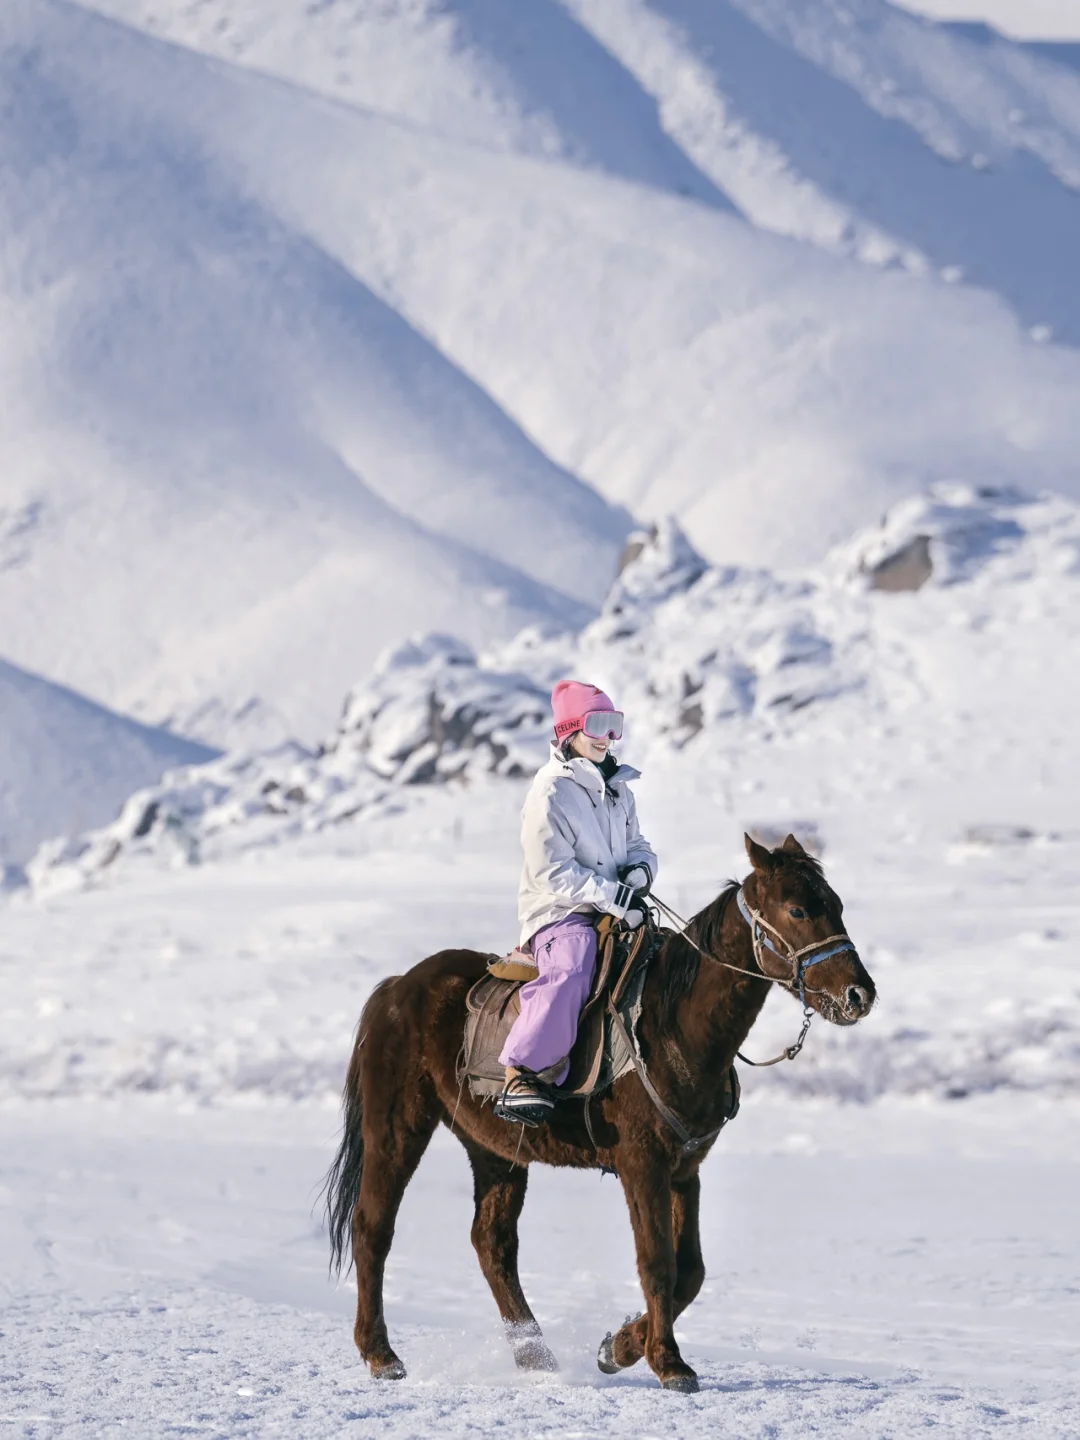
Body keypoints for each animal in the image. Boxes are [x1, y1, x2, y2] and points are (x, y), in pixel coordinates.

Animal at [324, 840, 881, 1388]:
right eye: (798, 910)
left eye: (836, 905)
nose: (860, 994)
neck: (673, 1023)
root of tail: (397, 987)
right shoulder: (643, 1165)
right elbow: (658, 1264)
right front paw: (668, 1362)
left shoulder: (685, 1171)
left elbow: (690, 1272)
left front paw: (617, 1348)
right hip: (398, 1128)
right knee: (373, 1227)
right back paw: (381, 1354)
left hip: (497, 1150)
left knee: (492, 1244)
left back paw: (536, 1356)